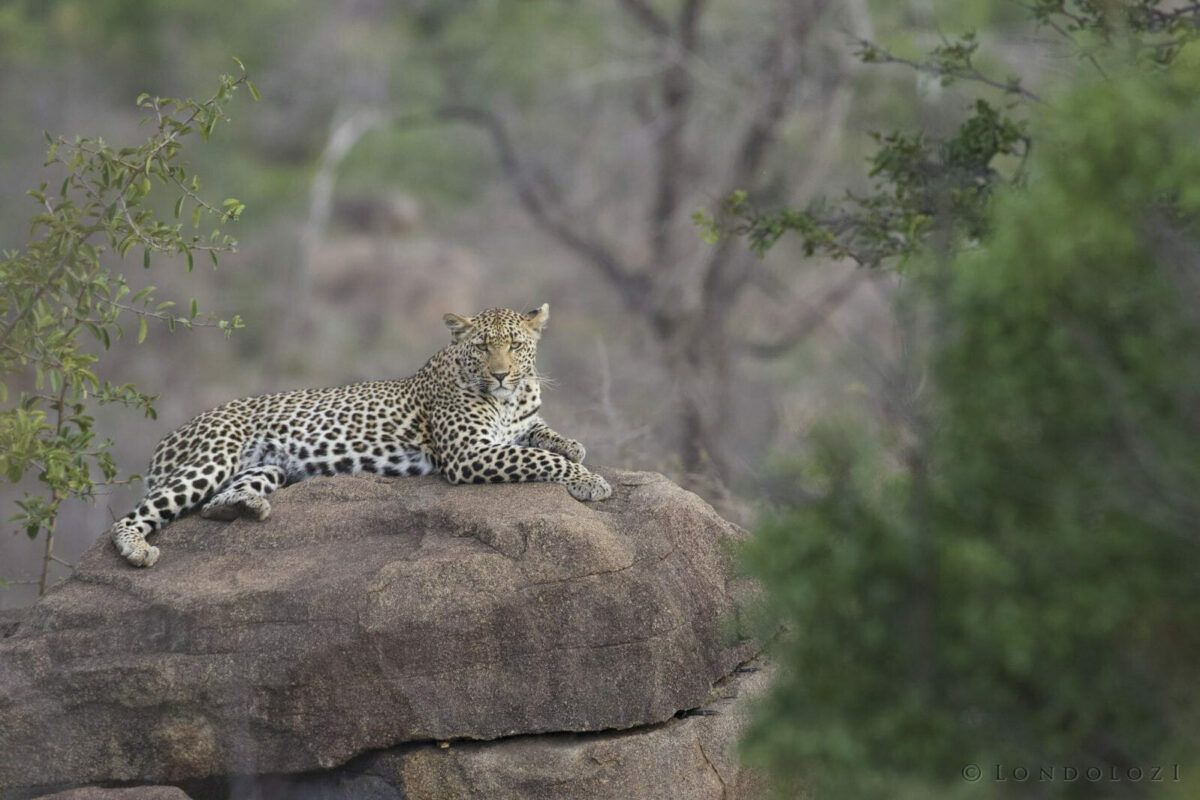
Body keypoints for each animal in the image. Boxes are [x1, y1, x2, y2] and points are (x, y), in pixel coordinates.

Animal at [109, 304, 611, 567]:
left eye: (516, 346)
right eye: (484, 347)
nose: (502, 374)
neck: (508, 400)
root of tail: (168, 437)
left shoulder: (516, 427)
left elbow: (545, 436)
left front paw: (575, 446)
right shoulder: (469, 454)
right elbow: (540, 458)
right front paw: (590, 480)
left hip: (268, 465)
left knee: (215, 502)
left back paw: (248, 506)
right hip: (213, 457)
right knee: (132, 516)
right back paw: (138, 549)